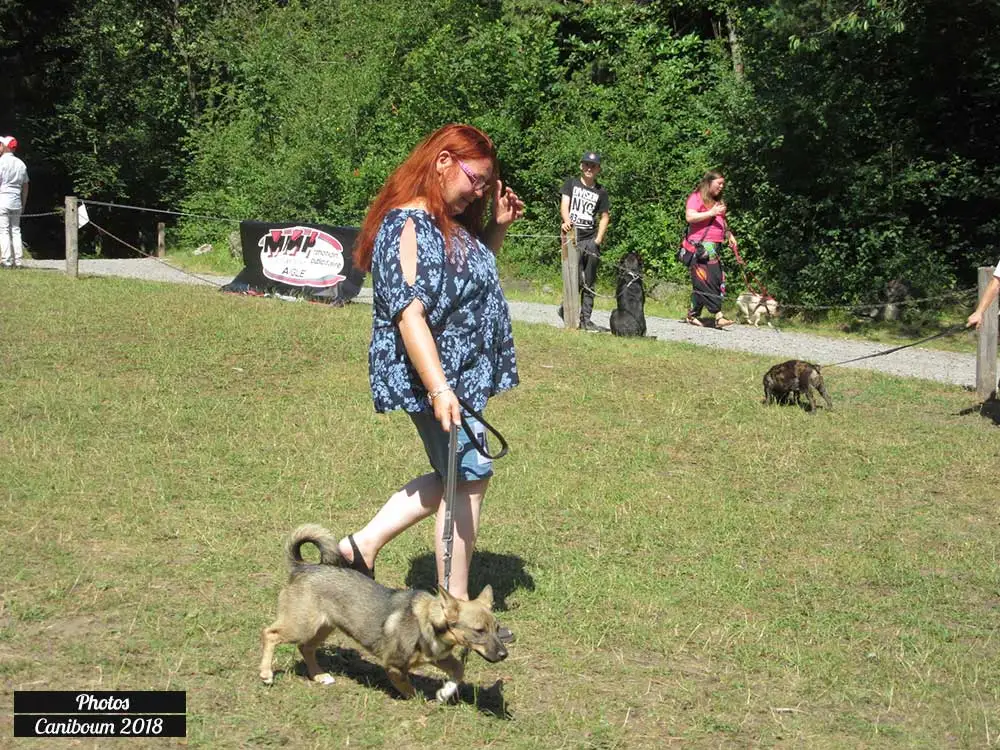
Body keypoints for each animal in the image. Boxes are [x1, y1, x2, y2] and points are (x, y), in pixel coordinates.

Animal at [258, 524, 508, 703]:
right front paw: (422, 702)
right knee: (270, 633)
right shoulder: (394, 667)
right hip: (302, 626)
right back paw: (266, 673)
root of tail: (302, 567)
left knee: (306, 648)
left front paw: (444, 692)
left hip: (323, 627)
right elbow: (411, 690)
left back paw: (320, 675)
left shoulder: (440, 657)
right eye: (479, 631)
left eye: (496, 629)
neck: (429, 622)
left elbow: (459, 669)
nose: (504, 655)